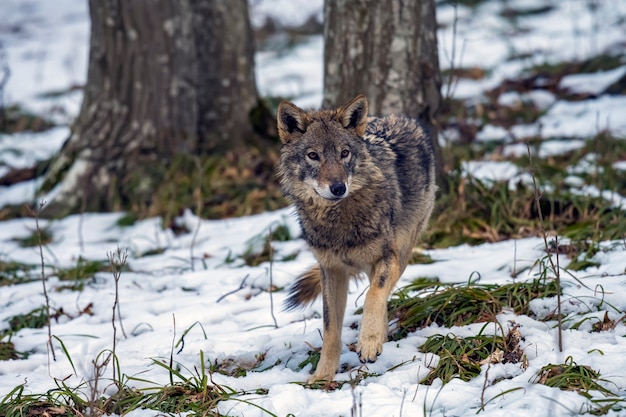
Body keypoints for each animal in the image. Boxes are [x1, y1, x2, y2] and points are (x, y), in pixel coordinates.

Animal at [276, 93, 436, 380]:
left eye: (344, 153)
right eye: (313, 156)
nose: (338, 188)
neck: (338, 221)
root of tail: (403, 118)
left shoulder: (387, 258)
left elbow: (374, 296)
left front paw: (369, 342)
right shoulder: (331, 270)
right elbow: (330, 329)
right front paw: (322, 376)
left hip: (403, 251)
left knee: (382, 291)